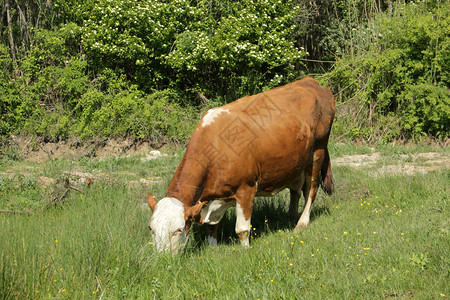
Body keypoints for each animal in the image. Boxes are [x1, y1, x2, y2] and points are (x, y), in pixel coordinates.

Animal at [148, 78, 334, 253]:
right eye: (151, 229)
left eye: (178, 230)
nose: (163, 259)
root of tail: (312, 82)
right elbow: (212, 225)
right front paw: (212, 248)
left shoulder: (246, 188)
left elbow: (242, 229)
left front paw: (245, 251)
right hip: (296, 162)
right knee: (296, 189)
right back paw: (291, 217)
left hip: (318, 150)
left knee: (311, 189)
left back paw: (301, 223)